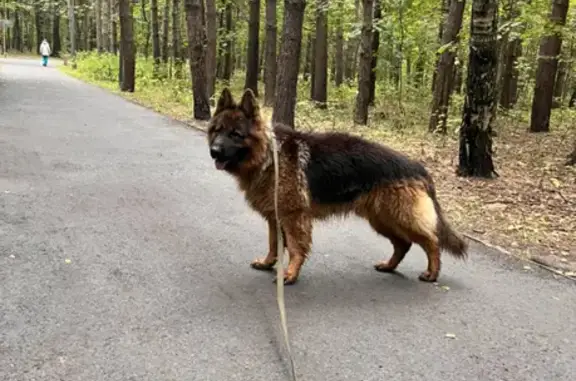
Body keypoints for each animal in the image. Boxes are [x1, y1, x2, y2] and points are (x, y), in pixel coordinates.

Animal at [208, 89, 468, 284]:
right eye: (217, 131)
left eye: (236, 134)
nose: (214, 151)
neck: (269, 156)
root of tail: (418, 166)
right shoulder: (275, 218)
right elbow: (274, 244)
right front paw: (267, 263)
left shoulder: (294, 218)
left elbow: (295, 248)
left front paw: (290, 274)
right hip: (381, 220)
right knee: (404, 244)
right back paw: (389, 266)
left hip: (401, 217)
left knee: (432, 242)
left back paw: (432, 273)